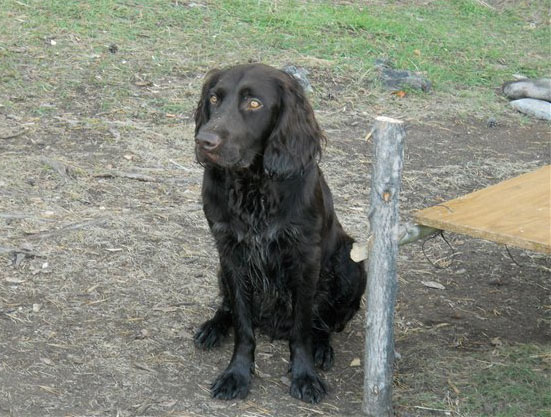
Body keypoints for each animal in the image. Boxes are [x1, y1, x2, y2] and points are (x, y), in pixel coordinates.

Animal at [193, 62, 366, 404]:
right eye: (215, 98)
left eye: (254, 103)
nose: (204, 141)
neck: (253, 188)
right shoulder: (230, 253)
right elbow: (242, 324)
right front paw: (236, 374)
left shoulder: (305, 257)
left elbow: (302, 327)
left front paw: (305, 375)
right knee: (227, 306)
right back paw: (213, 327)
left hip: (351, 263)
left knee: (325, 322)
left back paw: (322, 348)